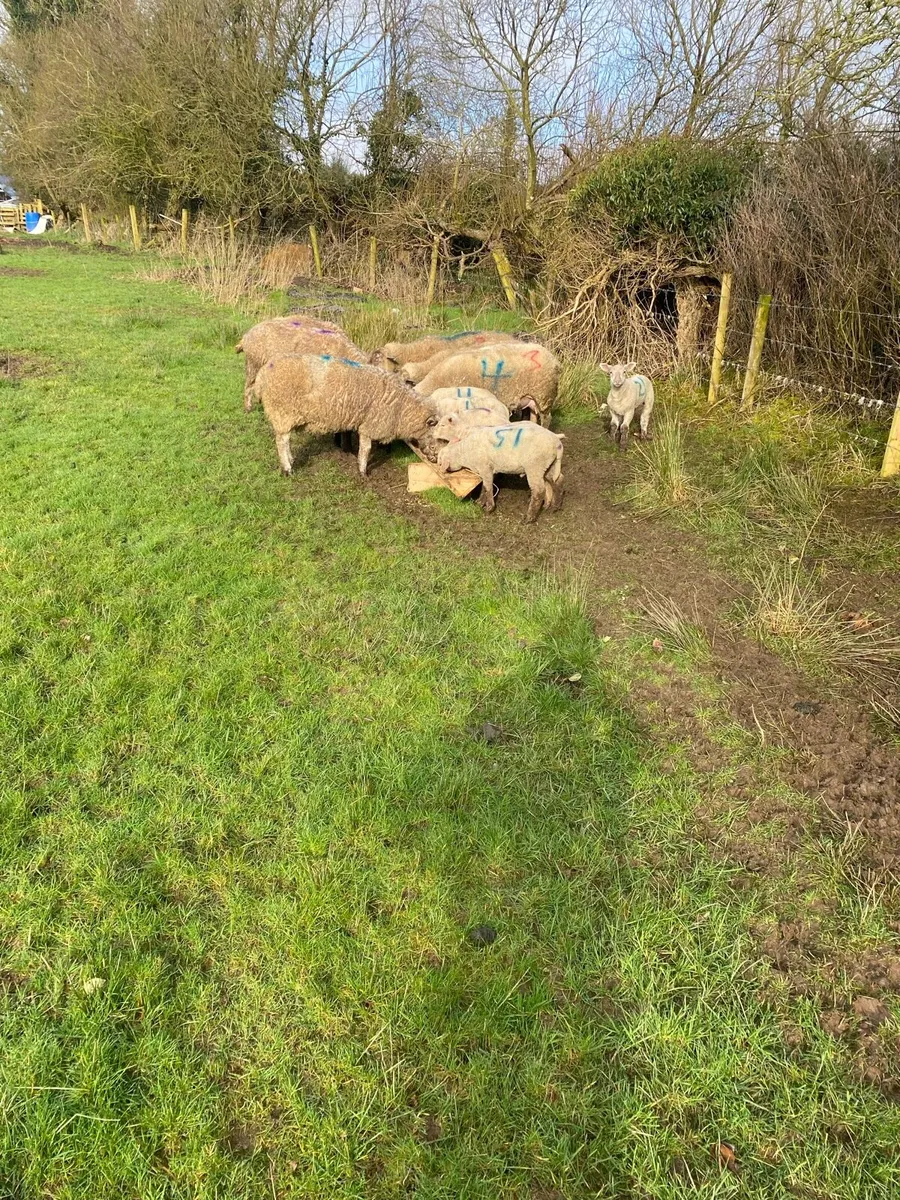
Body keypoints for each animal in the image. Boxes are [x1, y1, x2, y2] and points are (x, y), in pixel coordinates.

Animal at [251, 352, 436, 476]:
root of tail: (262, 375)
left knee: (285, 439)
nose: (434, 459)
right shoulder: (370, 425)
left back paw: (290, 460)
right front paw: (363, 471)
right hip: (282, 411)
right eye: (434, 436)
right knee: (281, 442)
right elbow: (366, 449)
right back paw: (287, 468)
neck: (401, 406)